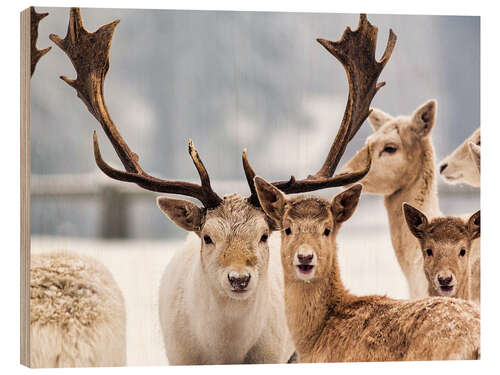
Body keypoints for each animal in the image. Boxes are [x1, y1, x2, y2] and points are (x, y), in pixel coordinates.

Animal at [50, 9, 394, 368]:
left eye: (263, 235)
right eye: (207, 236)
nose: (238, 278)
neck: (225, 353)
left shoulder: (273, 356)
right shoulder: (179, 357)